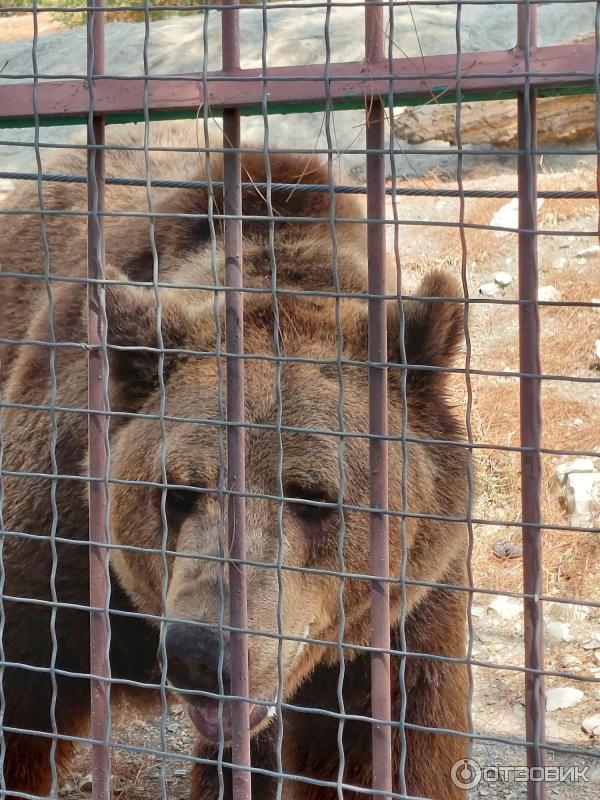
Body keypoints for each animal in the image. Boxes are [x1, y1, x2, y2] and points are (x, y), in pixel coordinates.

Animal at [0, 125, 468, 800]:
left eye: (311, 496)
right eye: (174, 491)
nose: (201, 653)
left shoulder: (403, 615)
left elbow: (395, 748)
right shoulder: (58, 545)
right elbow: (23, 695)